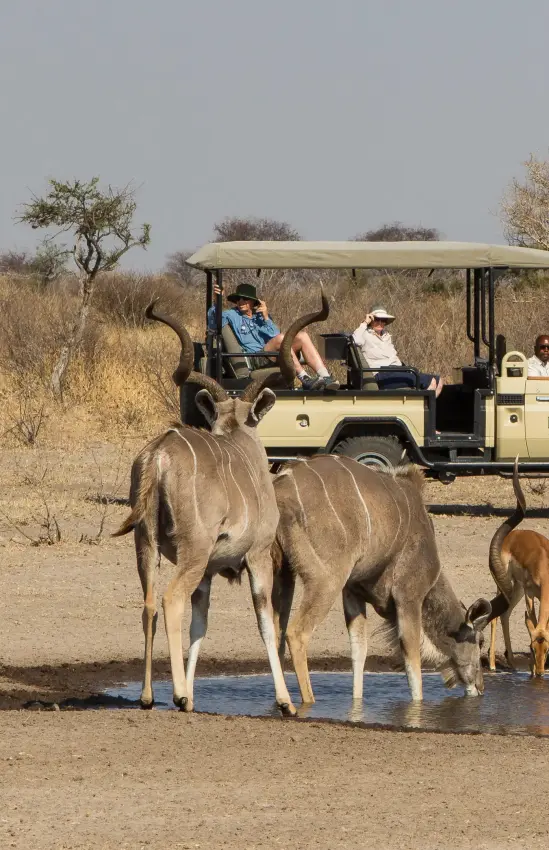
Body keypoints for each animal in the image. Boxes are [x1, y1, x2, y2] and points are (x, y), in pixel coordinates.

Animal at [114, 291, 329, 714]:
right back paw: (177, 694)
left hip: (146, 545)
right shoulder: (257, 557)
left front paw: (192, 695)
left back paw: (149, 697)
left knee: (149, 603)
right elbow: (265, 622)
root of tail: (159, 456)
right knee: (170, 599)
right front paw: (285, 702)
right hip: (192, 550)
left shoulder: (210, 571)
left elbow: (201, 623)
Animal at [488, 459, 549, 676]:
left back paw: (513, 663)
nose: (540, 673)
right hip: (508, 585)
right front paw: (530, 669)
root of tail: (514, 534)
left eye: (548, 649)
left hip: (517, 589)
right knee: (496, 616)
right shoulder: (531, 595)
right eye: (531, 648)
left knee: (505, 614)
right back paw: (492, 664)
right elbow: (531, 620)